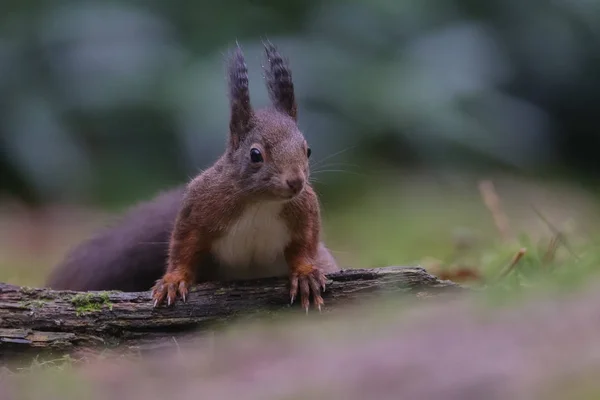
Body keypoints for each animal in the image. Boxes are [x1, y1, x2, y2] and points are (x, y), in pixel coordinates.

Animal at [44, 42, 340, 312]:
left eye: (307, 150)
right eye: (256, 155)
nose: (296, 182)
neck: (261, 202)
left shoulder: (304, 210)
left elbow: (305, 244)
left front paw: (305, 273)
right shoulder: (200, 206)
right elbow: (184, 245)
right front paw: (173, 281)